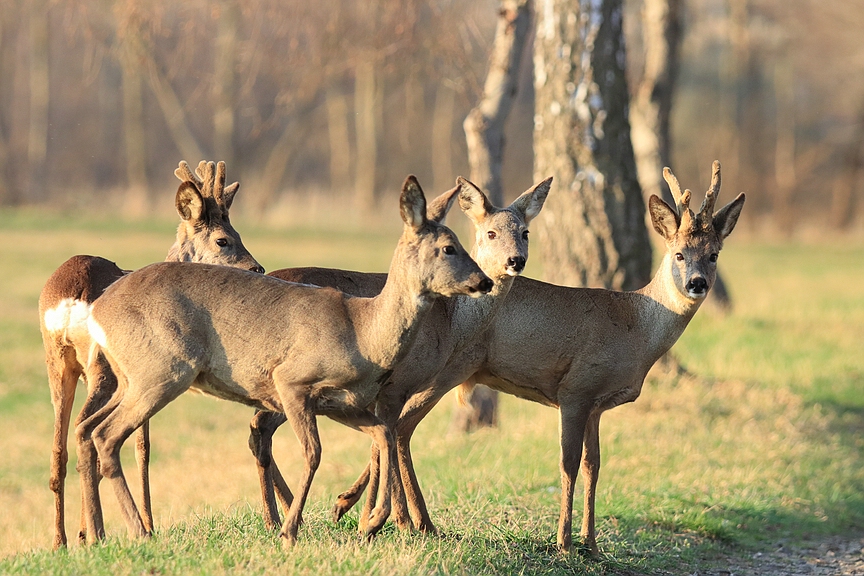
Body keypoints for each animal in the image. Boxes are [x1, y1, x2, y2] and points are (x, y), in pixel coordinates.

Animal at [39, 160, 264, 548]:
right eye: (224, 239)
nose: (258, 269)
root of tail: (71, 294)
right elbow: (143, 446)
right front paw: (148, 523)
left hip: (58, 362)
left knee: (59, 448)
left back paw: (62, 540)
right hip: (103, 368)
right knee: (85, 431)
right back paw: (93, 534)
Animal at [246, 177, 552, 532]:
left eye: (525, 232)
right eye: (491, 232)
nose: (515, 261)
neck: (450, 321)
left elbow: (388, 438)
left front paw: (369, 512)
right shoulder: (396, 384)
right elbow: (391, 438)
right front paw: (395, 520)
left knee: (259, 429)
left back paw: (283, 515)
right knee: (261, 427)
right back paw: (279, 518)